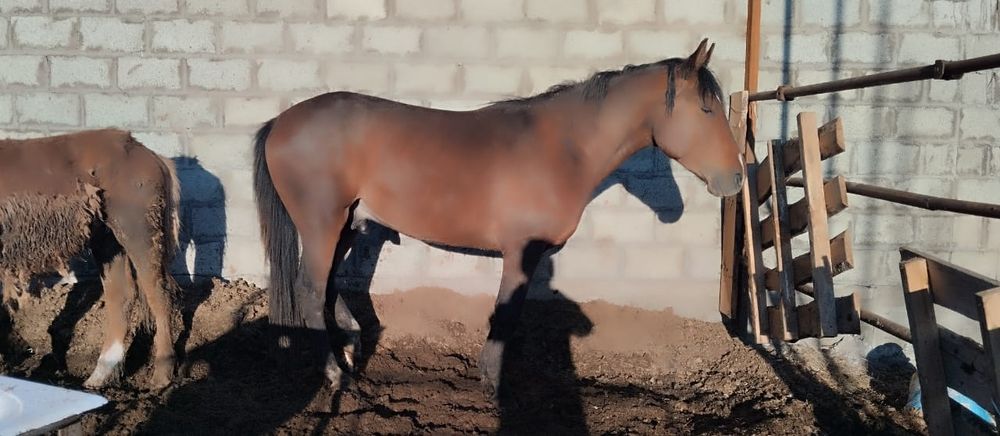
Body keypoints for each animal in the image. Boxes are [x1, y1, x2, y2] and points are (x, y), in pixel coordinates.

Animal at [0, 129, 181, 389]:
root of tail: (150, 155)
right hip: (107, 240)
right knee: (121, 295)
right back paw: (99, 376)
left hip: (138, 231)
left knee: (158, 293)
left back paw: (161, 375)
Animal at [252, 39, 745, 396]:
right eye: (707, 110)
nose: (735, 179)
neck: (562, 148)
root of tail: (279, 122)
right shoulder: (522, 251)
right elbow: (505, 314)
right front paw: (492, 383)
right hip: (322, 224)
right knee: (311, 289)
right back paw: (337, 374)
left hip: (348, 226)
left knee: (329, 287)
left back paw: (352, 350)